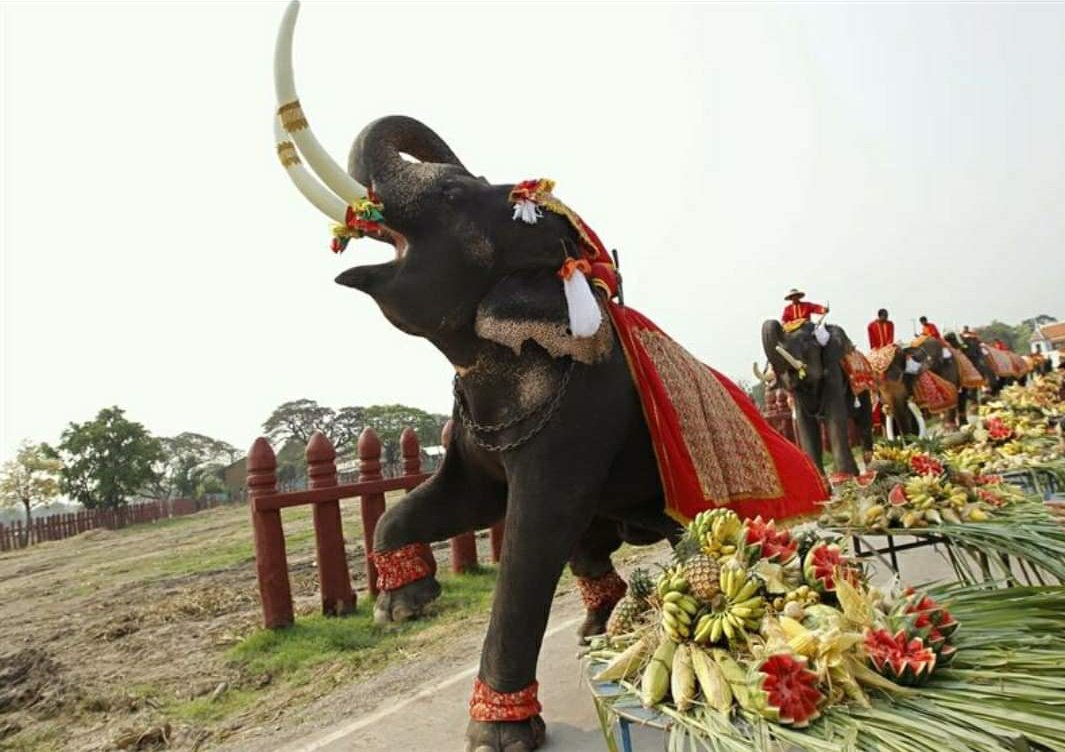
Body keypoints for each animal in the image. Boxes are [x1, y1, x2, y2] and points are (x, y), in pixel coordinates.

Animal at [270, 7, 826, 749]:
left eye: (450, 192)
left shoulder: (582, 415)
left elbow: (533, 532)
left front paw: (497, 733)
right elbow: (453, 500)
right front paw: (403, 606)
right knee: (596, 542)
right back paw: (598, 624)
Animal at [762, 317, 869, 475]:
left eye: (805, 341)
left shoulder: (833, 366)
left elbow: (835, 415)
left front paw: (846, 477)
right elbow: (804, 423)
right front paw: (820, 478)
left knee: (863, 418)